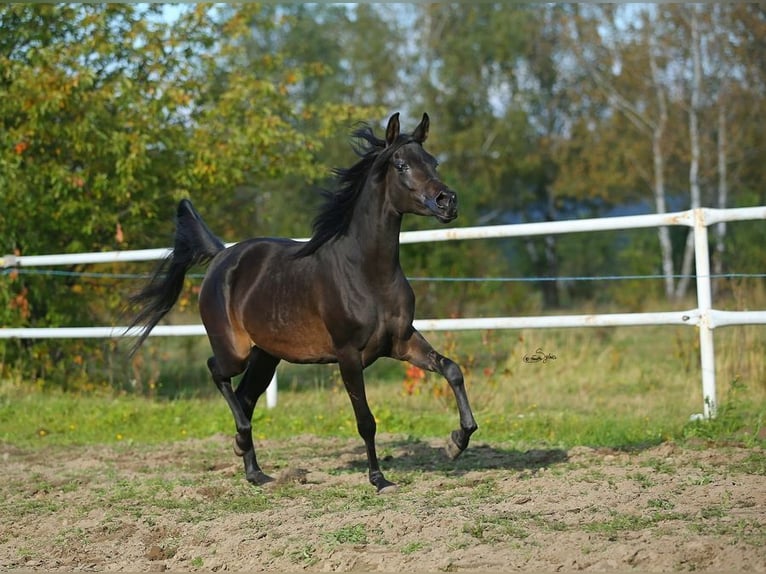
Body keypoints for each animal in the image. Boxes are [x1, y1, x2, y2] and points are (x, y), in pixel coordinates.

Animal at [130, 113, 480, 496]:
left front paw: (455, 443)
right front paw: (379, 479)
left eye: (433, 162)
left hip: (266, 356)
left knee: (245, 398)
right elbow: (366, 420)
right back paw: (243, 444)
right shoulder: (348, 355)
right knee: (217, 372)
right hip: (235, 351)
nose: (448, 201)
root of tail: (222, 255)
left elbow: (452, 369)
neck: (367, 272)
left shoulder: (401, 342)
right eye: (401, 165)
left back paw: (255, 471)